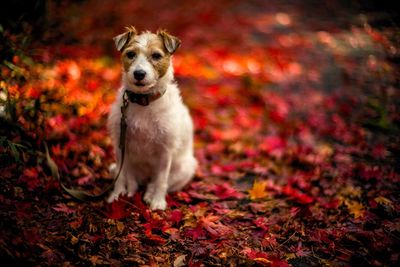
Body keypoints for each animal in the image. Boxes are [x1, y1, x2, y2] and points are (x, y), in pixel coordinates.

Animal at [106, 27, 197, 211]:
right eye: (130, 54)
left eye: (156, 55)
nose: (139, 74)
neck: (143, 101)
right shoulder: (120, 145)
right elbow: (120, 176)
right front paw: (116, 196)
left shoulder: (165, 151)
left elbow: (161, 180)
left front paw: (157, 202)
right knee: (129, 178)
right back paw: (130, 190)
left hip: (185, 168)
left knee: (156, 182)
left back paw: (149, 194)